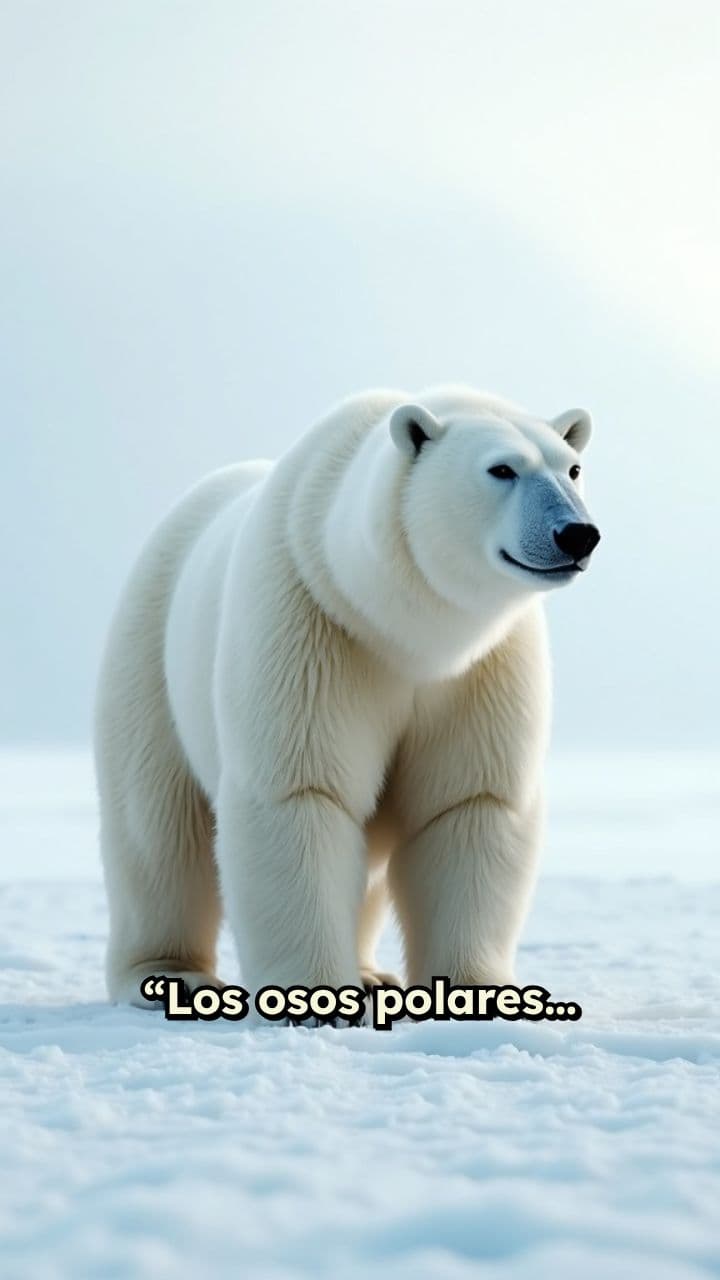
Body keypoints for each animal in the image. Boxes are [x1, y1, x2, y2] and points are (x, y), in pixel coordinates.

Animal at [94, 386, 600, 1015]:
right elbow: (302, 791)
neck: (402, 628)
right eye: (502, 469)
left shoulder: (485, 667)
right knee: (157, 832)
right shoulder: (313, 625)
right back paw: (170, 976)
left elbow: (468, 803)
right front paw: (315, 997)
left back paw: (371, 973)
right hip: (150, 658)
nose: (577, 534)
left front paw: (479, 994)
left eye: (573, 468)